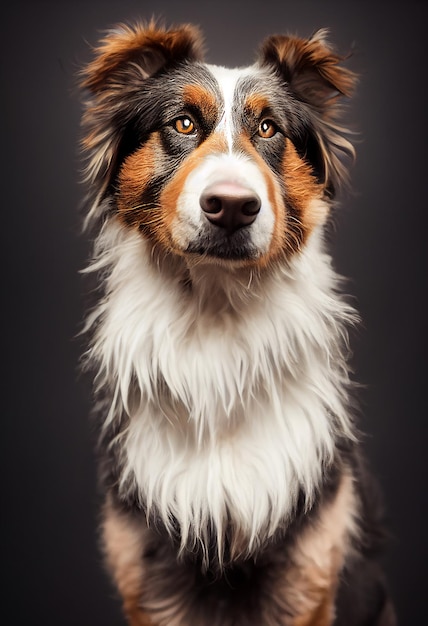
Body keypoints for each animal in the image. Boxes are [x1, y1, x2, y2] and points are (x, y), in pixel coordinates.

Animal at [78, 20, 396, 624]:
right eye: (182, 122)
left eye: (269, 127)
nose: (230, 206)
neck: (217, 320)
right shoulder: (145, 579)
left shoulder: (310, 576)